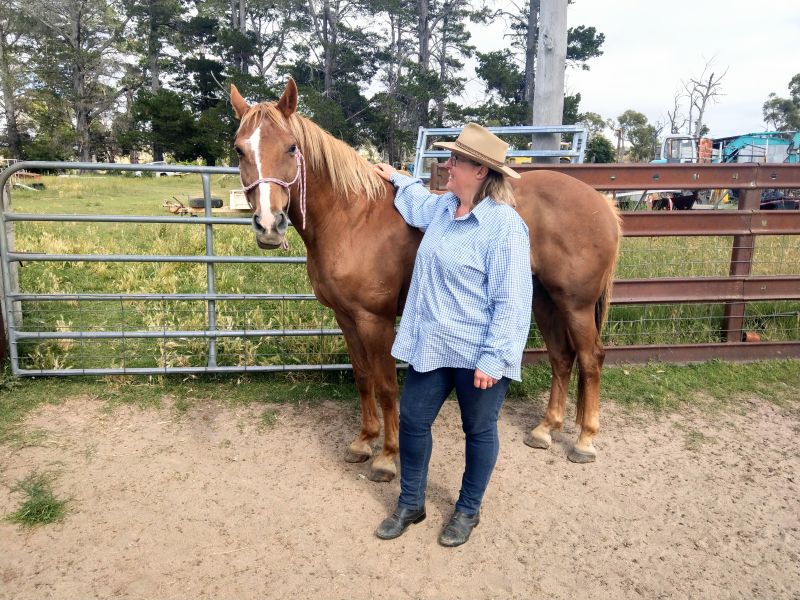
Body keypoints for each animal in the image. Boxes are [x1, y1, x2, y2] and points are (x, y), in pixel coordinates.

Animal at [230, 78, 620, 481]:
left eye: (291, 147)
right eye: (239, 150)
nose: (269, 224)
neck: (352, 217)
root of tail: (602, 204)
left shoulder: (375, 320)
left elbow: (387, 386)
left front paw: (387, 456)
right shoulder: (345, 317)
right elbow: (363, 377)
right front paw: (363, 442)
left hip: (575, 303)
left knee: (590, 358)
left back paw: (584, 441)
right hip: (543, 299)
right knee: (561, 357)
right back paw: (546, 429)